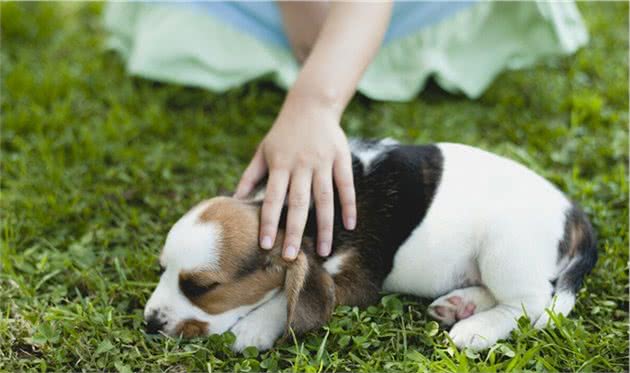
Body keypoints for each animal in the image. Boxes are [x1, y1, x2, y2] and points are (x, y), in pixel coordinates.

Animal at [143, 140, 596, 352]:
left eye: (201, 288)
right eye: (161, 270)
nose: (149, 323)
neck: (293, 213)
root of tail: (572, 210)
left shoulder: (357, 281)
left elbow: (286, 296)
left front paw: (255, 326)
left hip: (505, 248)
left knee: (531, 304)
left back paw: (476, 329)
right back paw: (459, 304)